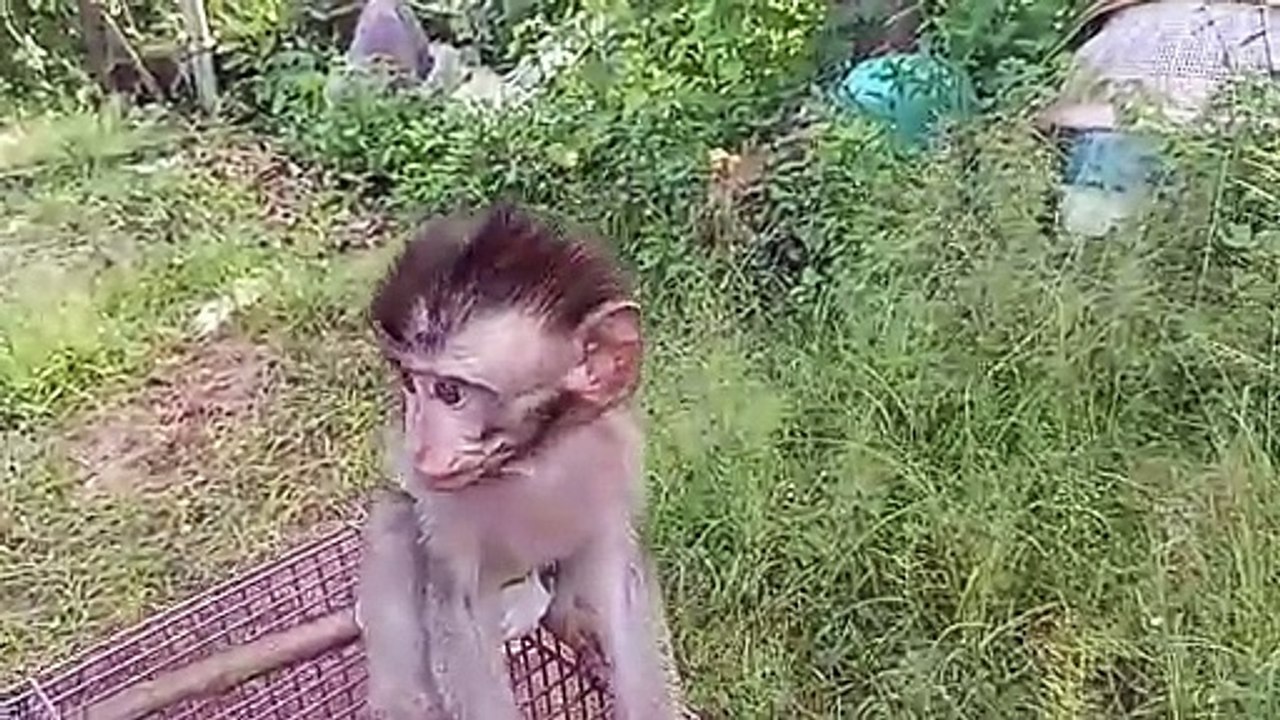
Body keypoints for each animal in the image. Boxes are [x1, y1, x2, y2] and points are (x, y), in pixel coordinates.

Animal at [356, 203, 686, 720]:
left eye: (449, 392)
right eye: (410, 383)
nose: (420, 446)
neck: (529, 459)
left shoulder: (613, 452)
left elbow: (617, 574)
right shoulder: (444, 507)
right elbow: (458, 606)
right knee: (395, 521)